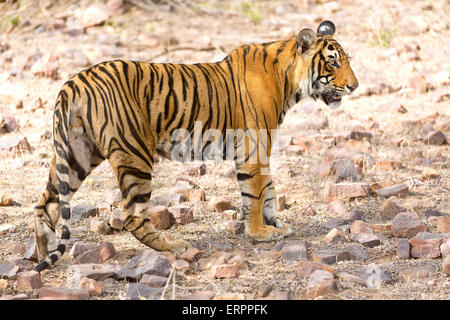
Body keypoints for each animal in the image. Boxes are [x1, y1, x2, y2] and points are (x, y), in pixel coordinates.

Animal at [33, 20, 358, 272]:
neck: (288, 81)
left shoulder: (260, 148)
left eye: (347, 60)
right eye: (333, 61)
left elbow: (268, 189)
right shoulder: (254, 145)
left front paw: (274, 223)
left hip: (76, 154)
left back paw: (43, 254)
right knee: (131, 215)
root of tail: (75, 82)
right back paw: (173, 245)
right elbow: (255, 192)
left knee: (45, 204)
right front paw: (259, 232)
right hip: (133, 153)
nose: (354, 86)